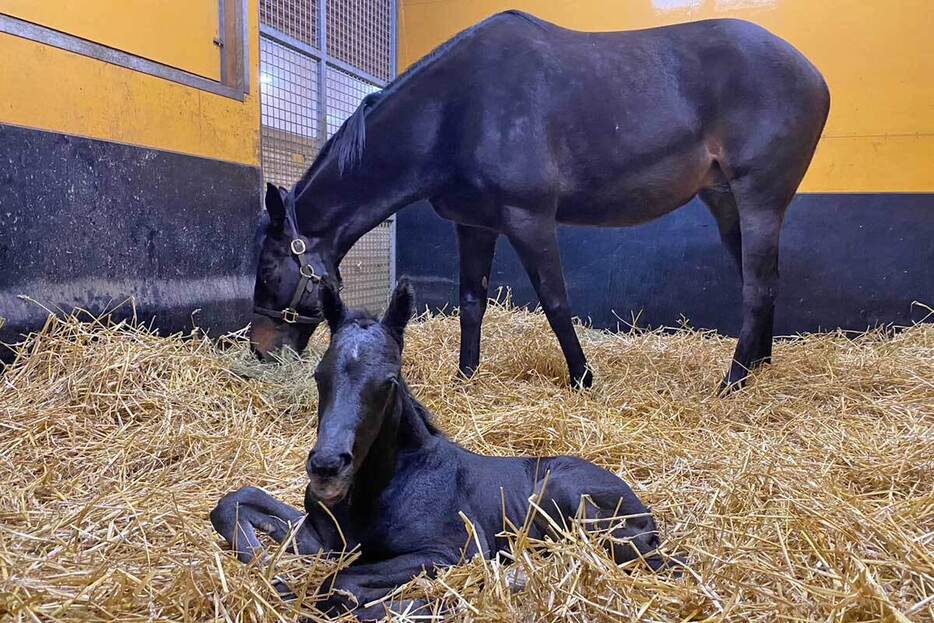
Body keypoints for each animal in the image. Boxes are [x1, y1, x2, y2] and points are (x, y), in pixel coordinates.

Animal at [214, 282, 664, 620]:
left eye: (390, 381)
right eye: (319, 375)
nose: (327, 467)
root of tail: (645, 512)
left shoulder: (453, 550)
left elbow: (339, 586)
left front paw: (430, 605)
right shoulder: (326, 539)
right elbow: (234, 502)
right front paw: (262, 566)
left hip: (559, 494)